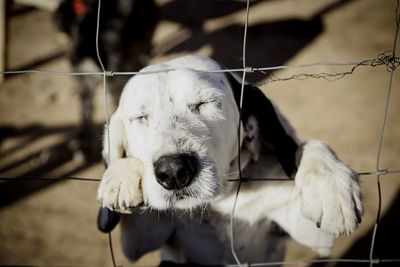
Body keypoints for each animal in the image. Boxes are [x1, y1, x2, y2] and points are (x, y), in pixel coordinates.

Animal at [96, 55, 362, 266]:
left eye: (205, 103)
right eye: (140, 117)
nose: (172, 171)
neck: (222, 200)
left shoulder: (317, 238)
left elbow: (308, 146)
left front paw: (329, 182)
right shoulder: (138, 242)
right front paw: (120, 174)